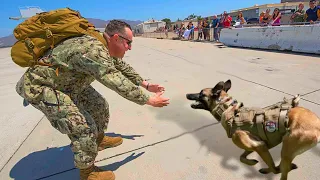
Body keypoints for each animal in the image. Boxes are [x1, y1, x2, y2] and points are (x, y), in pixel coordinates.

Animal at [185, 80, 320, 180]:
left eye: (201, 93)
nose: (187, 95)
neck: (228, 110)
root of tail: (318, 125)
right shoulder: (257, 145)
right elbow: (241, 157)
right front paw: (251, 162)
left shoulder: (259, 146)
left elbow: (274, 169)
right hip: (287, 149)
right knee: (282, 166)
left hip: (287, 148)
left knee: (282, 171)